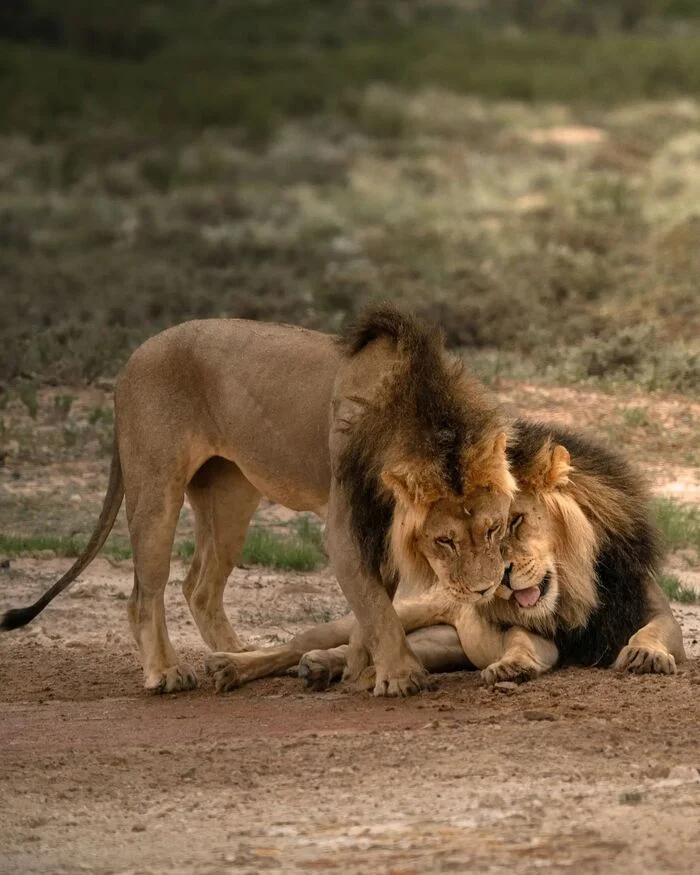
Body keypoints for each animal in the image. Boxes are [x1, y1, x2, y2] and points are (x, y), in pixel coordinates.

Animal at [202, 420, 684, 696]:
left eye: (512, 522)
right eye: (490, 528)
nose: (497, 579)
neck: (575, 586)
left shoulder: (654, 609)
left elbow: (656, 630)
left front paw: (646, 656)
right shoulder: (538, 632)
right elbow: (524, 642)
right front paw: (511, 666)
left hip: (441, 646)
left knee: (384, 651)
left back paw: (322, 668)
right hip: (400, 609)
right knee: (305, 641)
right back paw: (231, 667)